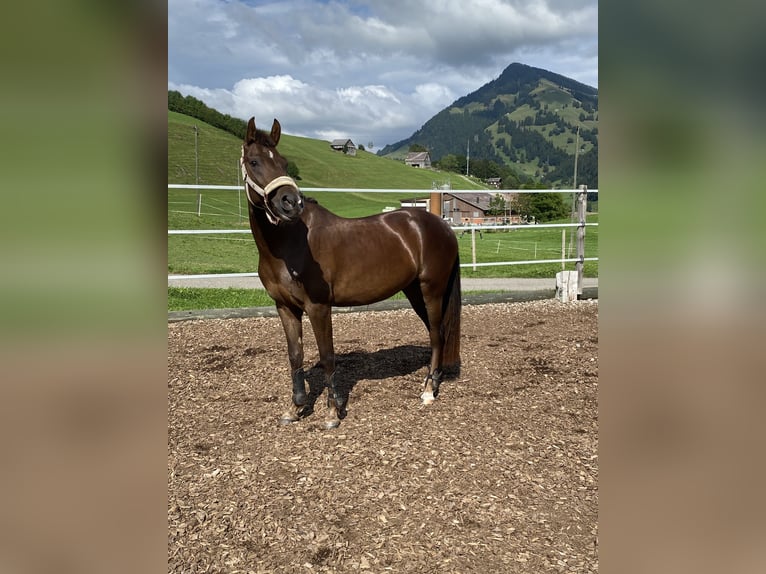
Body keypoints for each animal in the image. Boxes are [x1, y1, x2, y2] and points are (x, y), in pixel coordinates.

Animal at [243, 117, 464, 430]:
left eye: (284, 163)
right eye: (254, 161)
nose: (290, 202)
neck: (288, 244)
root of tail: (442, 226)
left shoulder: (318, 307)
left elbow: (327, 356)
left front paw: (332, 413)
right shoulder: (285, 307)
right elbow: (295, 356)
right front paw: (295, 408)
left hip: (431, 290)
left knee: (437, 334)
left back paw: (428, 391)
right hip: (413, 291)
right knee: (438, 335)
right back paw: (434, 381)